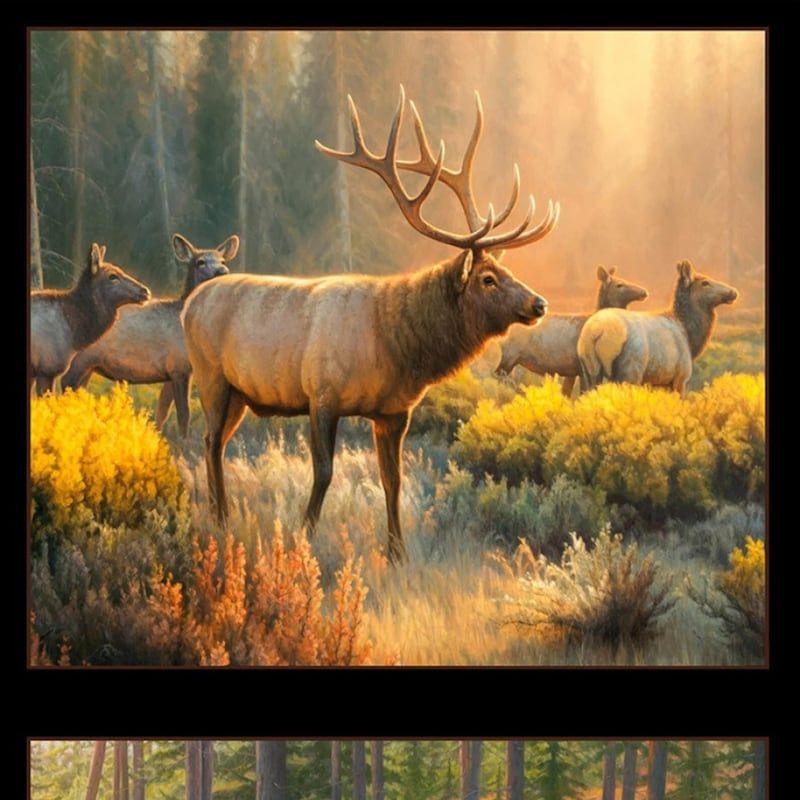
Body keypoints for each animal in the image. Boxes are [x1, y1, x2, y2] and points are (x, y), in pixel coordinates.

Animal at [60, 234, 237, 436]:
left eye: (222, 260)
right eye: (200, 262)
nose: (223, 271)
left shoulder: (172, 372)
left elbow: (162, 413)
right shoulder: (179, 366)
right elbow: (184, 415)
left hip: (89, 366)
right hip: (79, 360)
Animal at [182, 86, 560, 563]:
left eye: (506, 271)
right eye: (488, 278)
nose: (539, 303)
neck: (396, 346)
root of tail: (188, 305)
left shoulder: (395, 412)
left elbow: (392, 481)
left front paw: (398, 553)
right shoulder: (321, 395)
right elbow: (324, 473)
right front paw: (304, 537)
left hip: (240, 395)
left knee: (216, 442)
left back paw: (223, 514)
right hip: (211, 377)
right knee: (209, 441)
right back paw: (220, 517)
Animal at [495, 265, 648, 395]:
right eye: (619, 285)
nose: (644, 292)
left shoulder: (572, 371)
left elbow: (568, 394)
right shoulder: (582, 366)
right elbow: (584, 393)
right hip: (509, 356)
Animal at [577, 260, 738, 396]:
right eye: (705, 282)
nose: (734, 292)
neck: (690, 336)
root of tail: (596, 332)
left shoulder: (657, 382)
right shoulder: (681, 378)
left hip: (589, 370)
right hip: (629, 371)